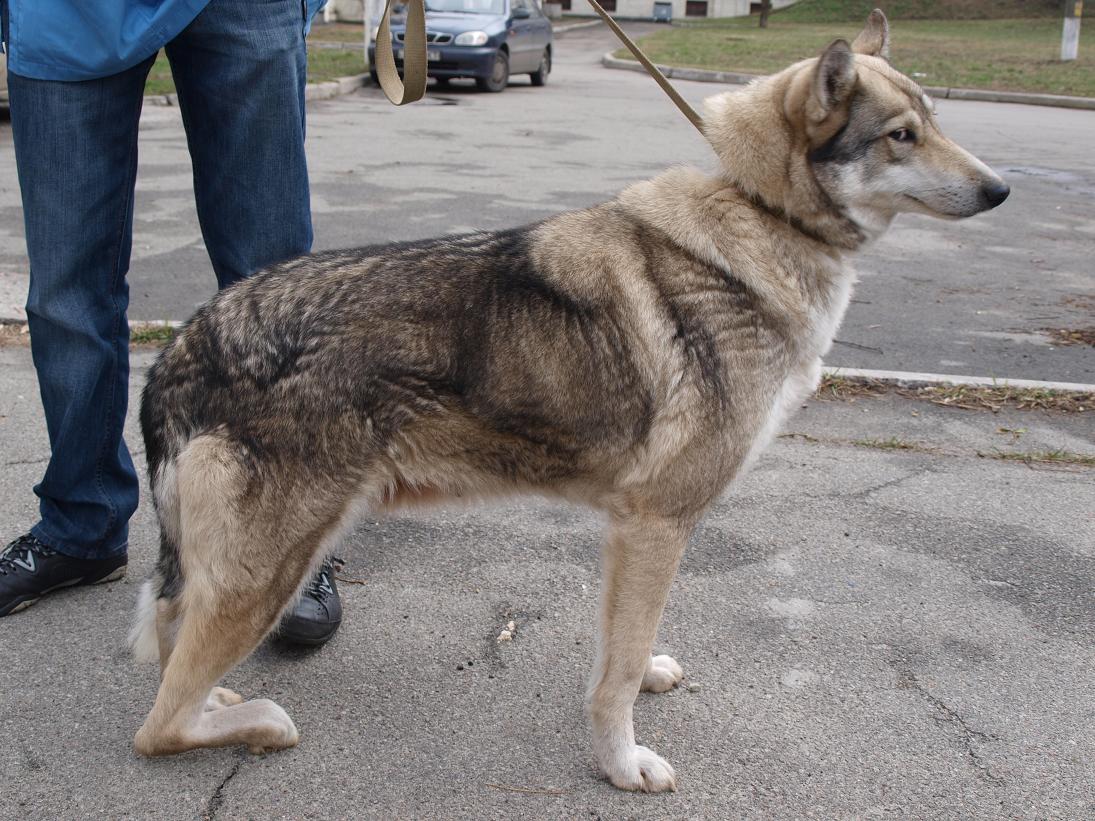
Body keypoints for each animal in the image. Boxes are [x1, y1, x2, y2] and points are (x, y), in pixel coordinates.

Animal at [130, 11, 1007, 796]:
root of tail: (188, 342)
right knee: (157, 723)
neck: (761, 210)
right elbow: (613, 678)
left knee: (169, 642)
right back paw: (253, 719)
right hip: (271, 574)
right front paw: (622, 766)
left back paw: (220, 695)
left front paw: (643, 680)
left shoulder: (635, 534)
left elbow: (624, 648)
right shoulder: (656, 522)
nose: (1000, 189)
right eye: (900, 135)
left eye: (932, 123)